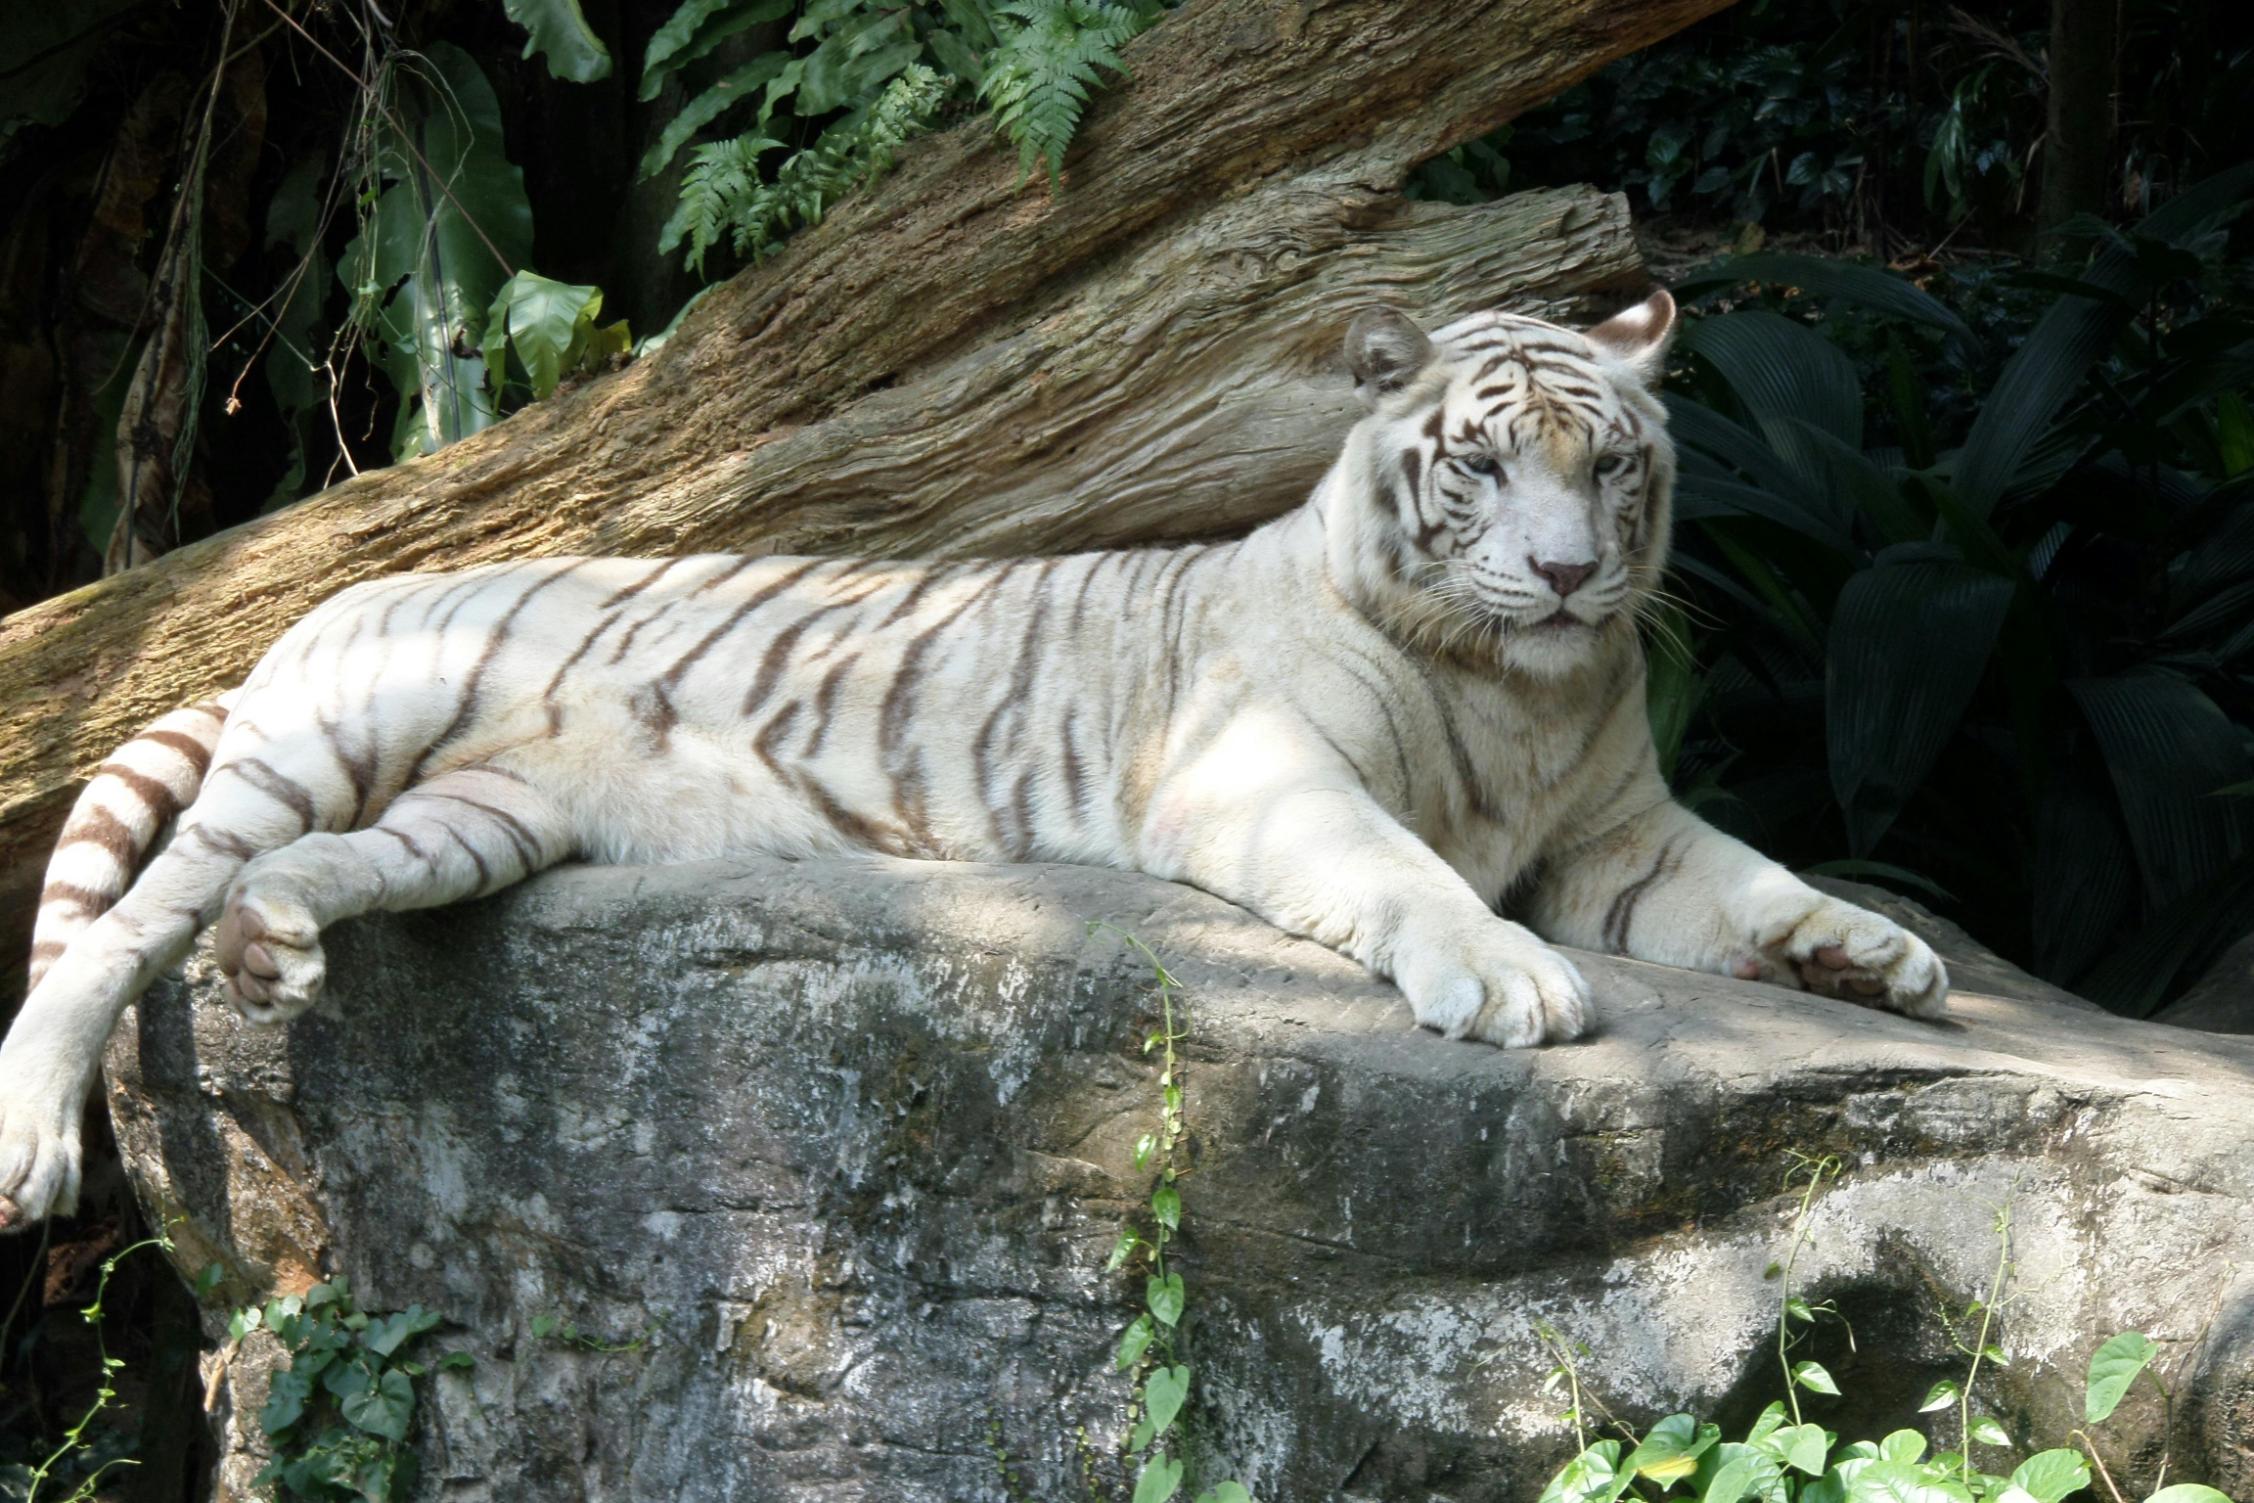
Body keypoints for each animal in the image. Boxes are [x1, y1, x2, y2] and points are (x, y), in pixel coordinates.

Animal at [0, 288, 1947, 1229]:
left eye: (1608, 462)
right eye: (1478, 464)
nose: (1560, 575)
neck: (1516, 689)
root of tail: (314, 600)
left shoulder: (1621, 826)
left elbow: (1758, 877)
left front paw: (1878, 956)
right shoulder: (1269, 778)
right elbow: (1412, 877)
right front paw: (1508, 979)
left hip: (473, 819)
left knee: (286, 881)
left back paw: (275, 949)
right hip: (334, 733)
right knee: (117, 933)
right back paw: (42, 1136)